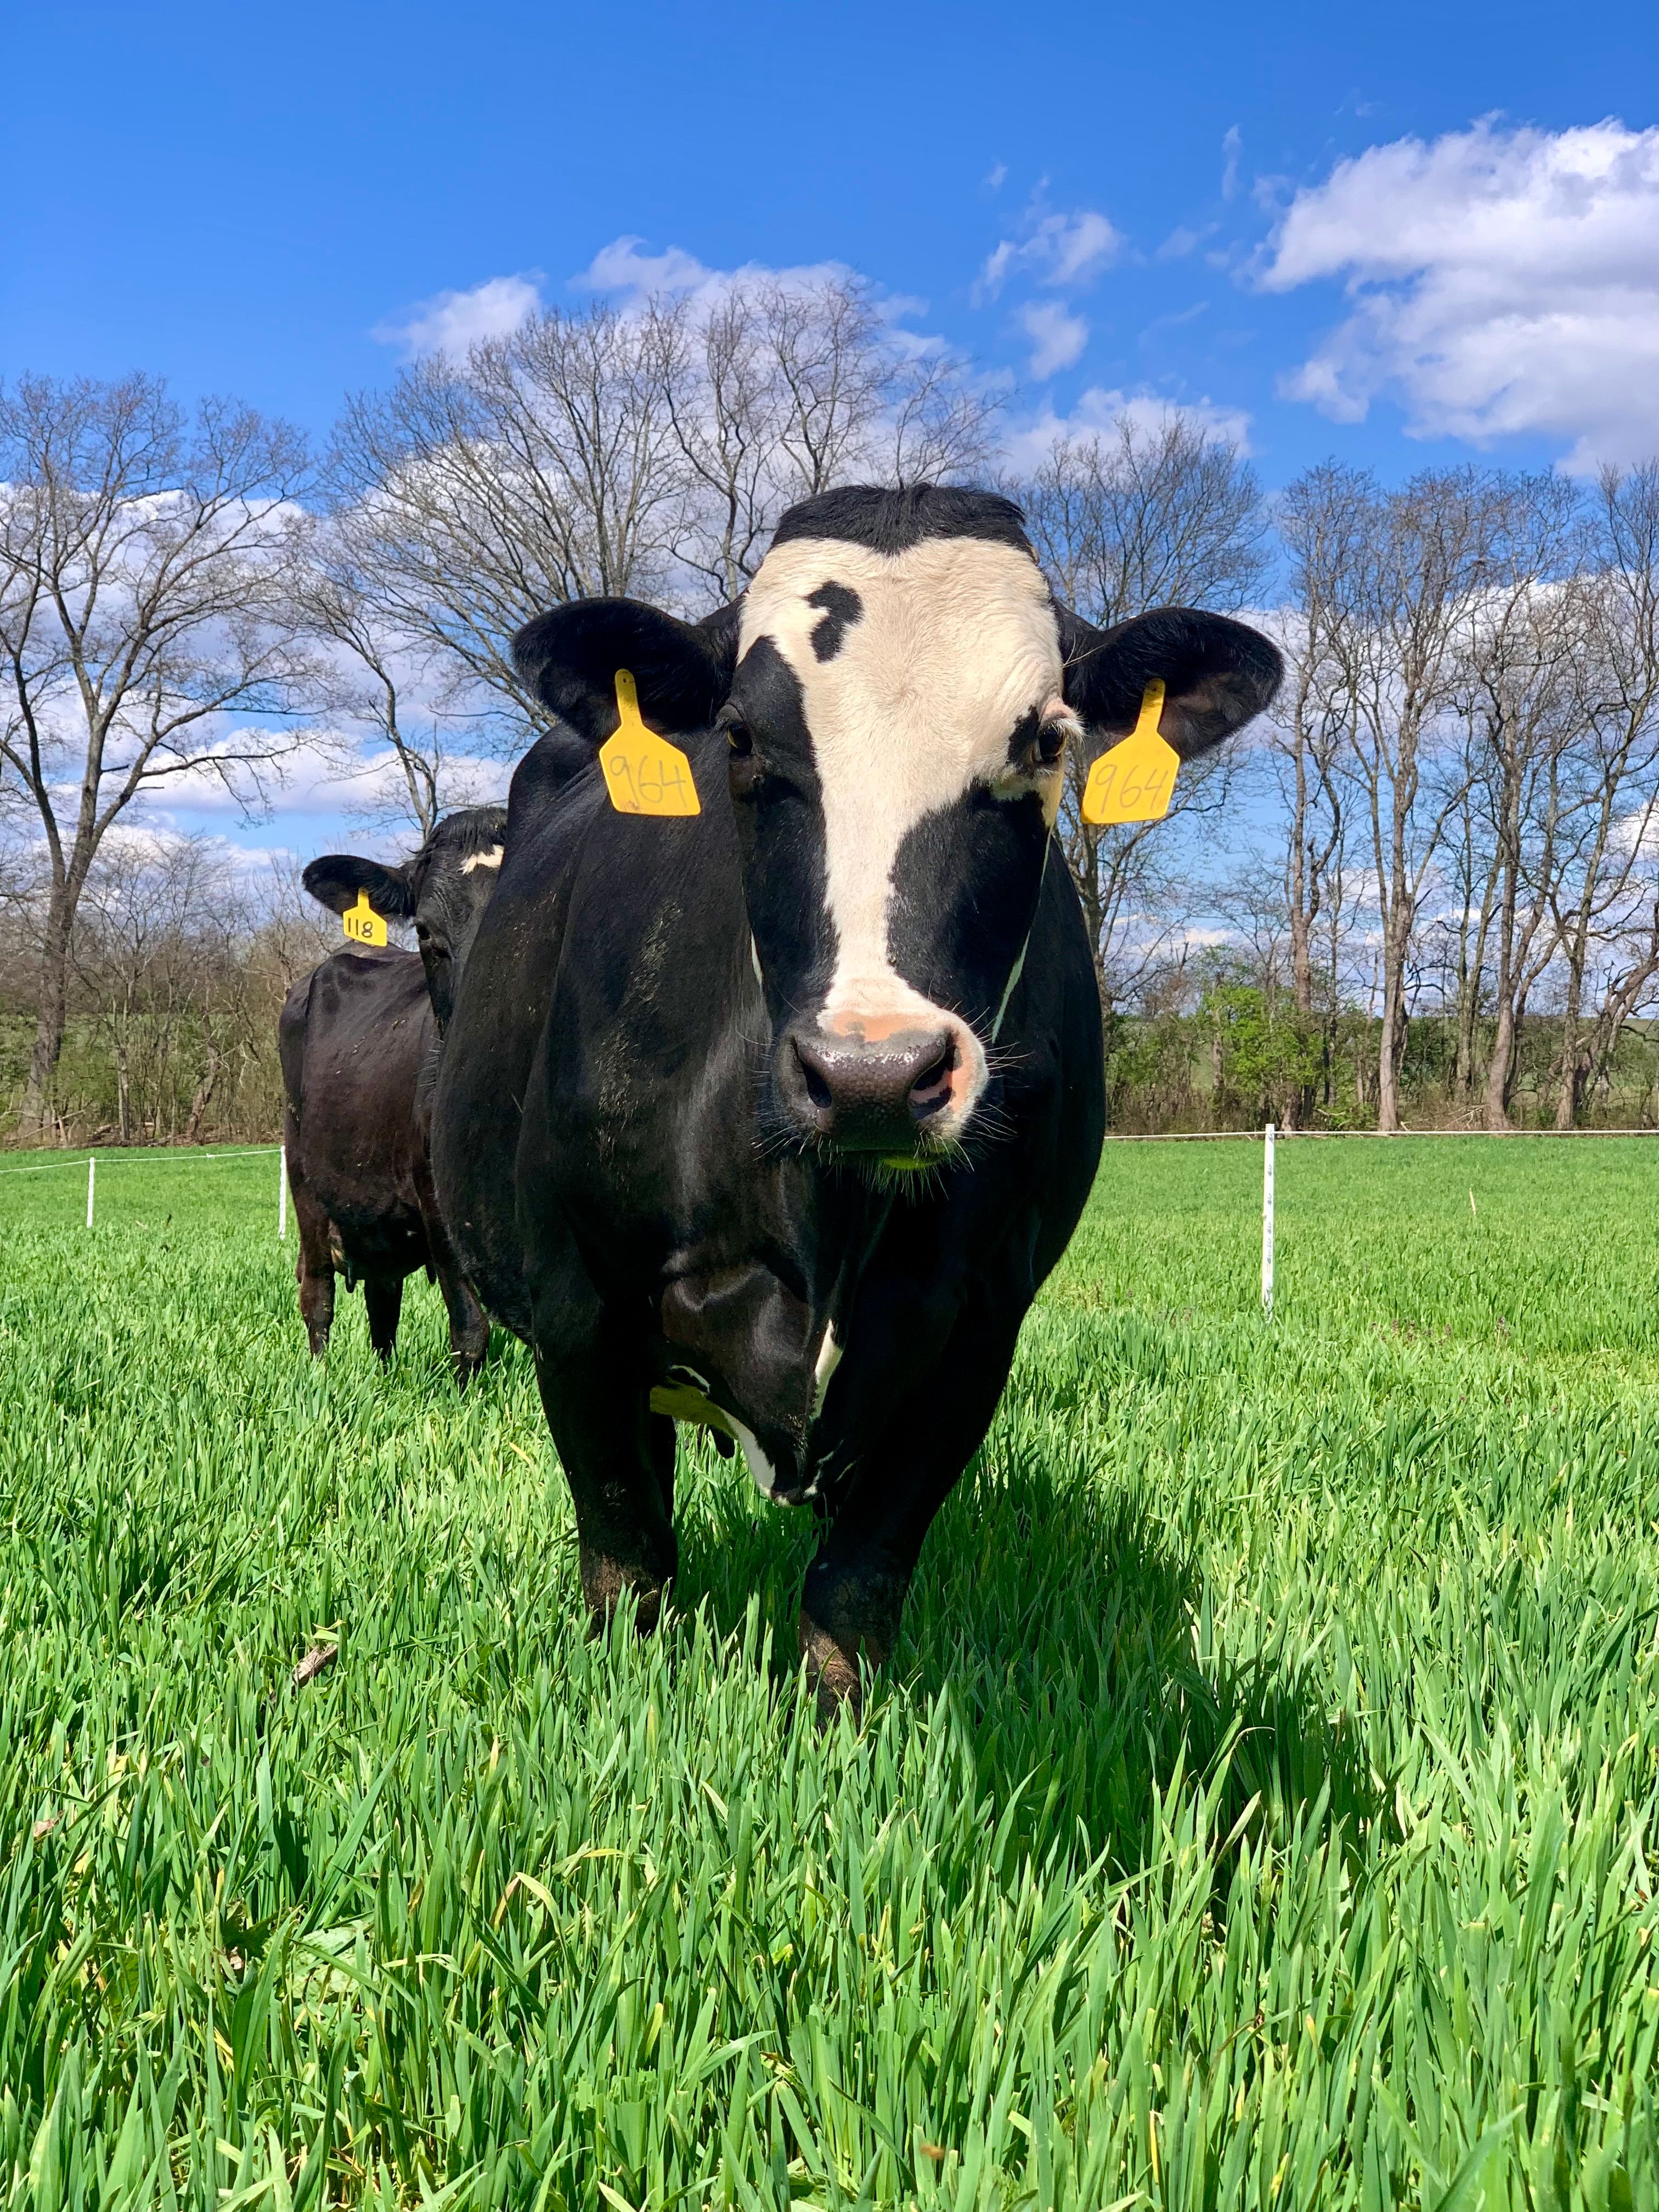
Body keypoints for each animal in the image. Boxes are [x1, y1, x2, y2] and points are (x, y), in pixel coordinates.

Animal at [279, 805, 507, 1384]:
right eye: (425, 931)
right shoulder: (435, 1198)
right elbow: (470, 1330)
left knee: (383, 1301)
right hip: (304, 1175)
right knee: (317, 1292)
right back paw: (320, 1380)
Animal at [432, 486, 1281, 1712]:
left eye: (1046, 741)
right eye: (739, 739)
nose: (874, 1075)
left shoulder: (973, 1326)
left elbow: (855, 1588)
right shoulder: (574, 1306)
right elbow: (627, 1560)